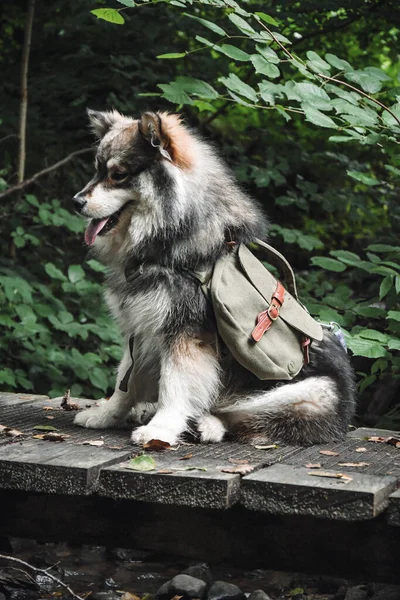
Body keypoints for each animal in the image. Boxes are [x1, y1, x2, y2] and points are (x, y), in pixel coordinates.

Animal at [72, 109, 356, 446]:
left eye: (118, 174)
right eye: (97, 171)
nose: (75, 201)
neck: (169, 239)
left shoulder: (185, 332)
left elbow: (175, 385)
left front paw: (161, 428)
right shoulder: (141, 327)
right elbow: (124, 382)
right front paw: (106, 415)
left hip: (303, 391)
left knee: (244, 418)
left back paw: (205, 424)